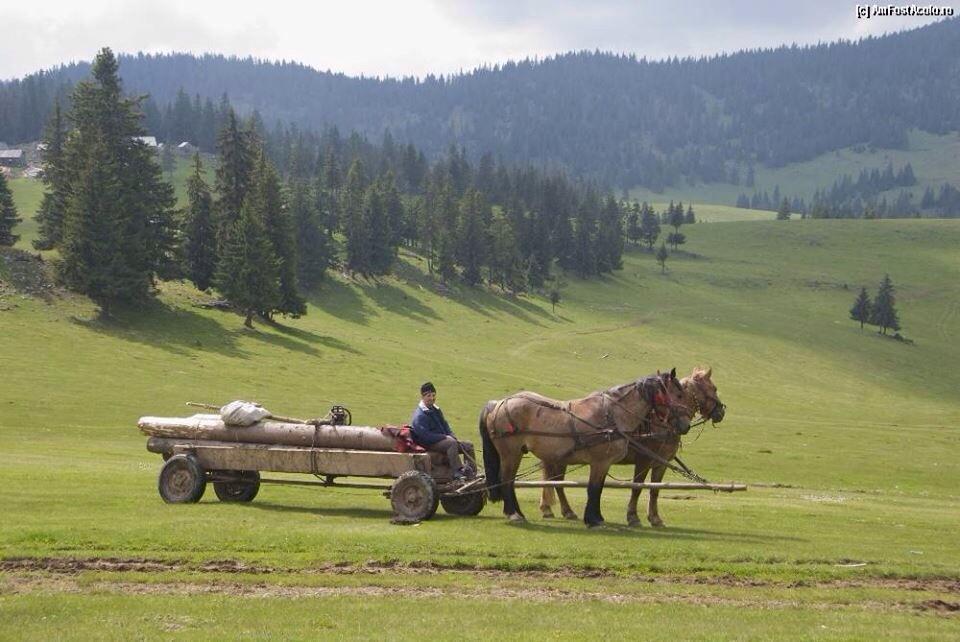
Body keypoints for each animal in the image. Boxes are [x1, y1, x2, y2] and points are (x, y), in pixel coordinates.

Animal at [474, 370, 688, 524]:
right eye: (678, 394)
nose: (685, 425)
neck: (612, 414)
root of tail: (498, 403)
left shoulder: (604, 464)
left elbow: (598, 489)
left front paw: (597, 517)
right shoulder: (600, 462)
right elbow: (593, 489)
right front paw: (593, 519)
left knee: (510, 482)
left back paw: (518, 513)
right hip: (511, 453)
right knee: (506, 480)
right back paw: (514, 514)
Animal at [540, 364, 728, 524]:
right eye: (714, 388)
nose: (721, 412)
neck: (660, 424)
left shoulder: (661, 463)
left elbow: (655, 490)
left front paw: (655, 518)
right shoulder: (643, 460)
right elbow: (637, 487)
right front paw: (633, 517)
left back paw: (549, 509)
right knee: (557, 482)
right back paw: (566, 511)